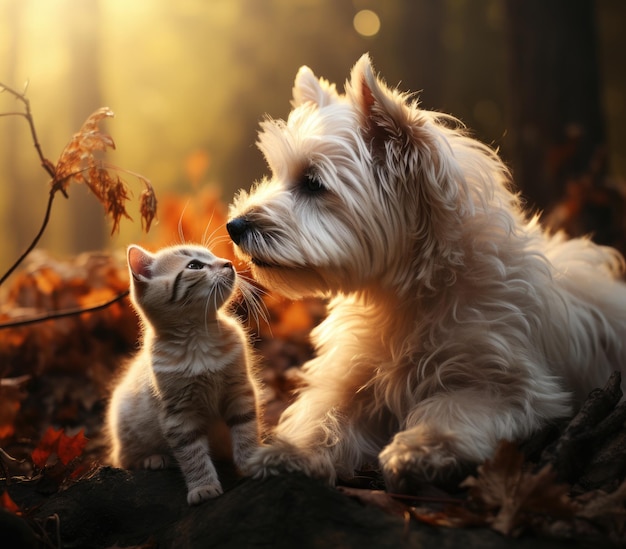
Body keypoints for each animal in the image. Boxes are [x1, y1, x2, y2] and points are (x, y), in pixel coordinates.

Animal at [106, 244, 260, 506]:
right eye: (195, 266)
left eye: (214, 257)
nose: (228, 263)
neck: (199, 336)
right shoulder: (178, 413)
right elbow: (192, 454)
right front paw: (203, 486)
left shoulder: (239, 391)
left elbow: (245, 429)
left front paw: (251, 462)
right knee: (123, 459)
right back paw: (154, 458)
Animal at [224, 54, 624, 488]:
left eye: (313, 183)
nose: (234, 226)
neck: (410, 292)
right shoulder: (350, 378)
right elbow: (321, 415)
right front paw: (286, 451)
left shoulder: (513, 386)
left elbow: (453, 409)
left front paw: (420, 448)